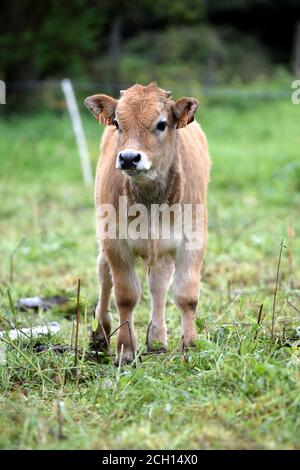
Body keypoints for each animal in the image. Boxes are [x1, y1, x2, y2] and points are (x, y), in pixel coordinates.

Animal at [84, 82, 211, 364]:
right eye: (118, 122)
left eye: (162, 123)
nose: (129, 158)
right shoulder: (115, 241)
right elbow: (126, 295)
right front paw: (125, 349)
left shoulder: (193, 238)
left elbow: (186, 295)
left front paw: (190, 345)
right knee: (103, 274)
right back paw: (100, 334)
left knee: (158, 286)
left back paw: (157, 340)